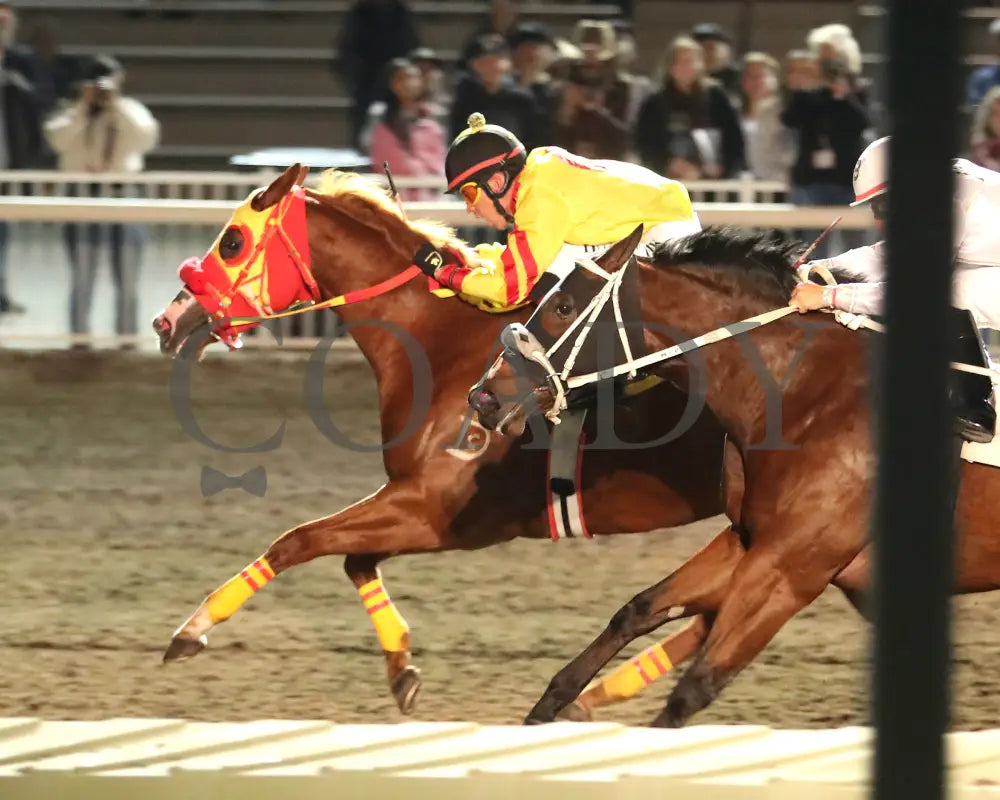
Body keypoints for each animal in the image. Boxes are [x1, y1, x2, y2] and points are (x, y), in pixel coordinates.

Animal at [151, 163, 737, 716]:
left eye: (232, 242)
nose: (166, 322)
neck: (441, 343)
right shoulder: (423, 507)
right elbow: (352, 560)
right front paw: (401, 668)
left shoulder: (436, 510)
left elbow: (297, 540)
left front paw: (192, 629)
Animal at [472, 225, 1000, 727]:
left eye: (562, 306)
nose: (484, 396)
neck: (807, 396)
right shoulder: (748, 541)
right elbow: (640, 609)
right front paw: (547, 709)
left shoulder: (791, 569)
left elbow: (695, 686)